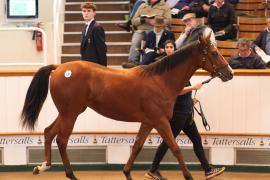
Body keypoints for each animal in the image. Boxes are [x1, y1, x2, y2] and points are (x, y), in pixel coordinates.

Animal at [20, 34, 232, 180]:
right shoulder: (161, 121)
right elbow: (174, 147)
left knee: (48, 132)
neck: (160, 81)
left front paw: (127, 172)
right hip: (70, 114)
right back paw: (71, 175)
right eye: (214, 53)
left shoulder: (148, 122)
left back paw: (42, 167)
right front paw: (188, 176)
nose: (229, 73)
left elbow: (137, 146)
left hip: (68, 113)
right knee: (61, 140)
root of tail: (59, 68)